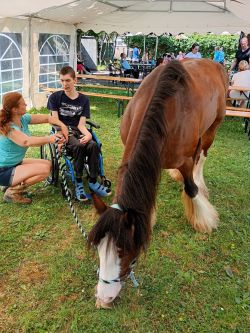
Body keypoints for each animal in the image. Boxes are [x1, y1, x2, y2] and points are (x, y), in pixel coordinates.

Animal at [88, 58, 229, 308]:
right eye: (98, 249)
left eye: (124, 251)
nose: (104, 298)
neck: (166, 109)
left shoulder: (184, 160)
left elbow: (191, 188)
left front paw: (204, 218)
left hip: (213, 127)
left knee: (202, 156)